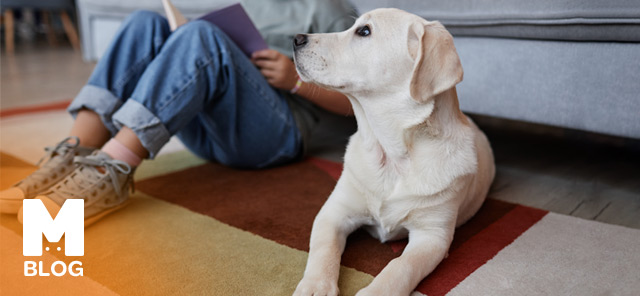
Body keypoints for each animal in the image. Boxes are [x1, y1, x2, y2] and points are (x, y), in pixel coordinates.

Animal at [292, 7, 498, 296]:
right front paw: (315, 286)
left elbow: (401, 267)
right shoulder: (333, 213)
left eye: (364, 31)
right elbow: (323, 250)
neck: (390, 154)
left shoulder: (432, 236)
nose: (296, 39)